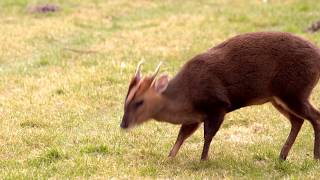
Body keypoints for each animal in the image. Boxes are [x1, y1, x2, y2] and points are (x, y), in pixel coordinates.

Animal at [119, 32, 320, 160]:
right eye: (125, 101)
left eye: (139, 102)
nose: (123, 124)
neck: (186, 97)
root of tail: (318, 55)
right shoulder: (196, 116)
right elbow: (182, 135)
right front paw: (169, 157)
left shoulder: (218, 104)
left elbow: (208, 135)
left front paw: (203, 160)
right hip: (278, 97)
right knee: (298, 120)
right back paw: (282, 156)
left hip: (295, 90)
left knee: (315, 117)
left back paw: (315, 156)